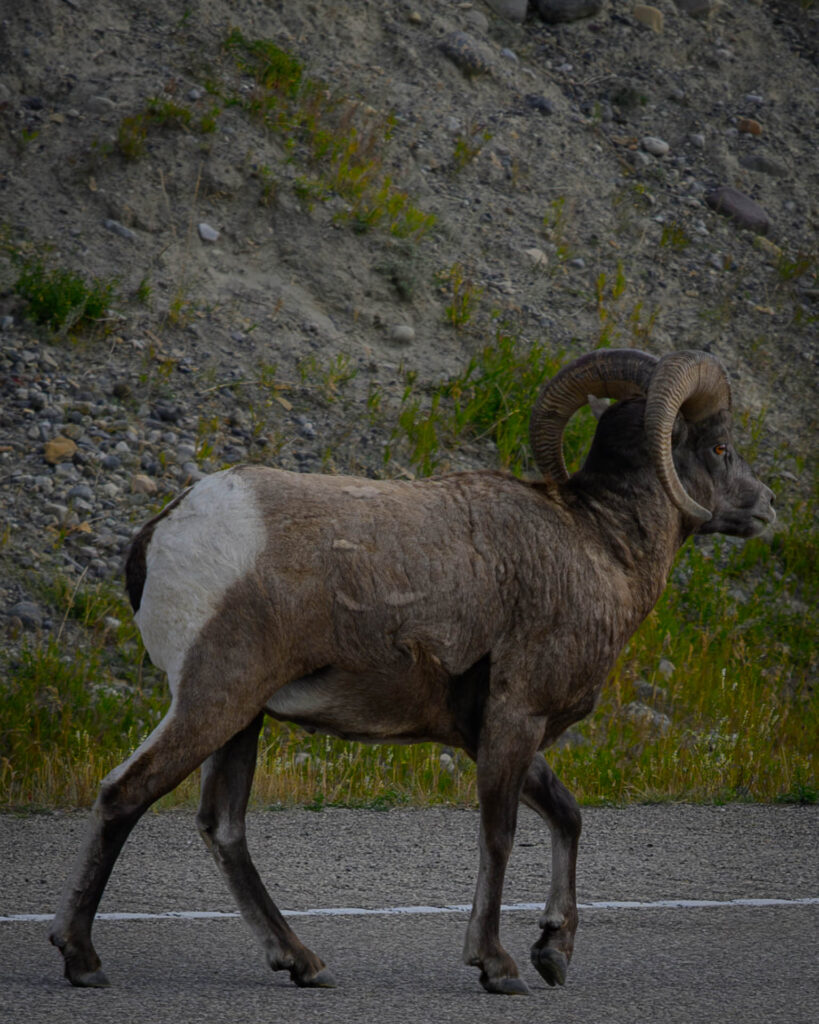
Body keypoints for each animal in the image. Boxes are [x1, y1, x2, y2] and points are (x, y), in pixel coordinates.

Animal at [50, 347, 775, 996]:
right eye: (717, 449)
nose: (765, 506)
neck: (598, 547)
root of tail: (166, 529)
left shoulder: (491, 730)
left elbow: (567, 816)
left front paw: (553, 952)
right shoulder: (515, 720)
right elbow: (499, 836)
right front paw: (497, 967)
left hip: (242, 721)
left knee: (223, 827)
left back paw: (303, 963)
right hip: (213, 701)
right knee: (124, 794)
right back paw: (82, 960)